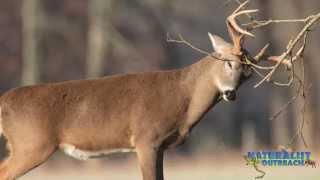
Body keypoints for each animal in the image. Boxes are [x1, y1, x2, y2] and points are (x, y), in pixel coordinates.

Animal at [0, 5, 288, 180]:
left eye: (248, 75)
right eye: (227, 62)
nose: (230, 93)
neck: (183, 99)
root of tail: (3, 101)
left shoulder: (160, 145)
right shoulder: (145, 138)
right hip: (32, 143)